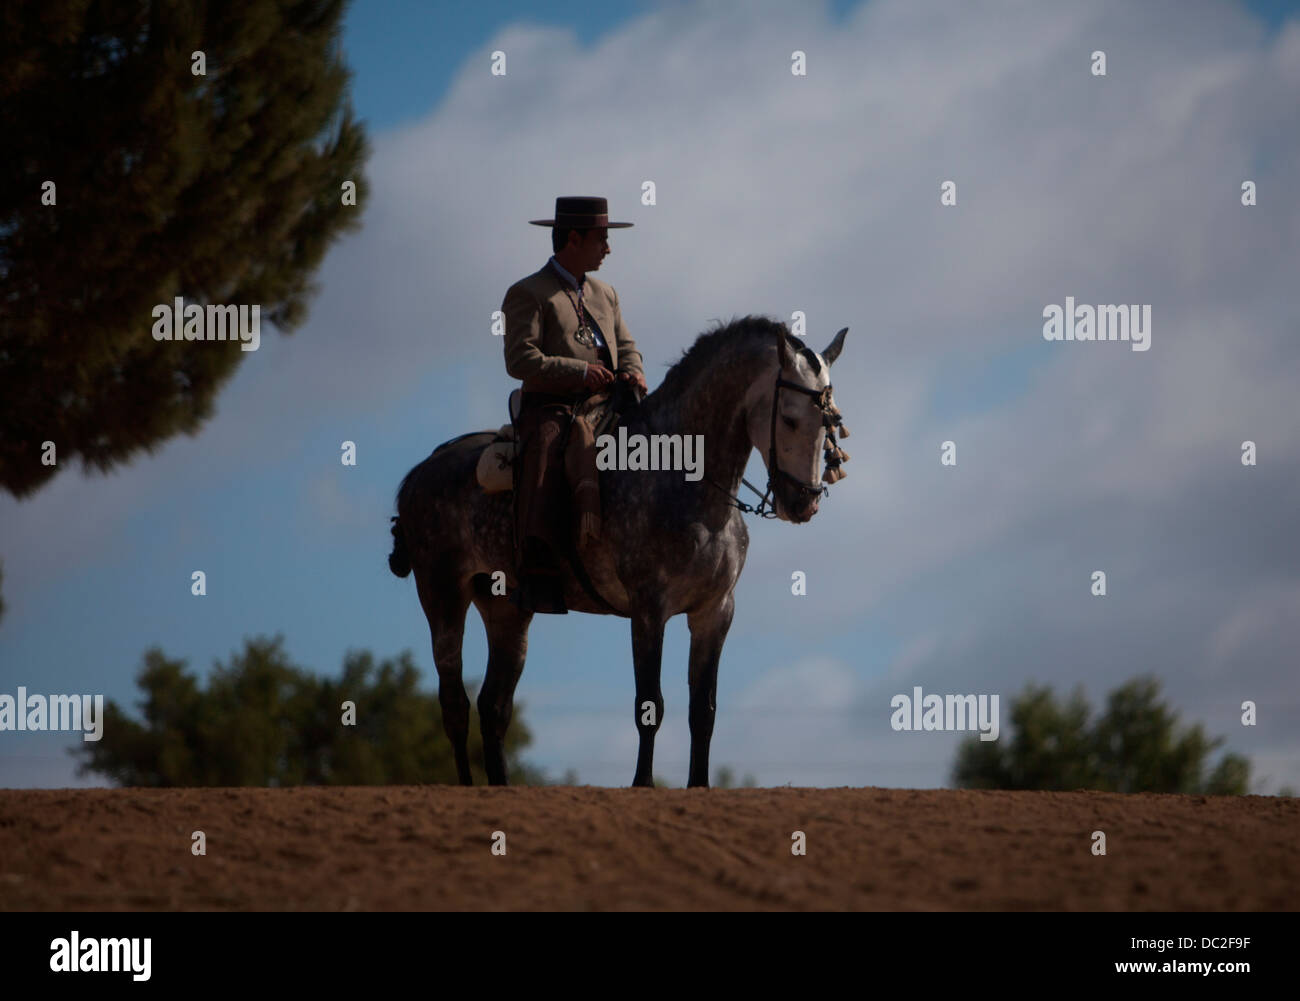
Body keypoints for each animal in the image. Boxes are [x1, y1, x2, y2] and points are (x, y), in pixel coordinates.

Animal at [390, 315, 847, 785]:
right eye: (789, 419)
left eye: (829, 423)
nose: (803, 503)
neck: (685, 482)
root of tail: (422, 471)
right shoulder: (648, 608)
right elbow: (650, 706)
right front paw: (642, 783)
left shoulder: (715, 611)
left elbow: (703, 710)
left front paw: (699, 785)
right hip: (444, 597)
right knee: (454, 703)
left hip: (506, 611)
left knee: (493, 706)